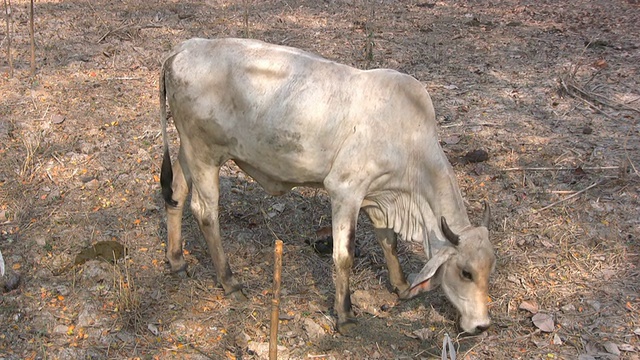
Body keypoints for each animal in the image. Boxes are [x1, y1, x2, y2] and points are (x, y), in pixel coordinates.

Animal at [159, 38, 496, 334]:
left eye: (489, 269)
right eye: (465, 272)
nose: (482, 325)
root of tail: (184, 48)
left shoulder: (378, 196)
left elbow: (389, 242)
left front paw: (400, 285)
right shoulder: (345, 190)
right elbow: (343, 255)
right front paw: (345, 314)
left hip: (188, 150)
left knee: (176, 194)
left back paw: (176, 260)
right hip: (205, 154)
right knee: (204, 212)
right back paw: (230, 281)